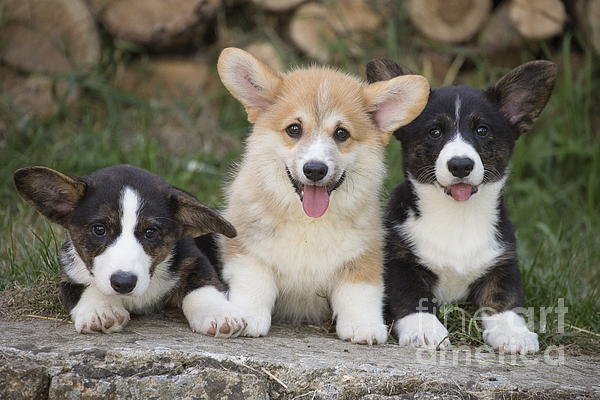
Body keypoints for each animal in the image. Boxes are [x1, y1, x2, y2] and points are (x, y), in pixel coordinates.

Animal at [15, 164, 246, 336]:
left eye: (150, 232)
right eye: (99, 229)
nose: (124, 283)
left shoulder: (193, 259)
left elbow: (203, 286)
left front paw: (218, 315)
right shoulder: (69, 274)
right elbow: (86, 287)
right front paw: (101, 311)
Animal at [213, 47, 428, 344]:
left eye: (341, 133)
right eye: (294, 129)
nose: (315, 169)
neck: (309, 222)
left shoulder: (364, 254)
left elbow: (361, 291)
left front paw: (363, 326)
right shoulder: (245, 248)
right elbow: (255, 282)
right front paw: (246, 317)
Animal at [366, 57, 556, 354]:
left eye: (482, 130)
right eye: (434, 132)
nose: (460, 165)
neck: (457, 215)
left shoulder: (503, 263)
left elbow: (504, 299)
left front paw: (514, 334)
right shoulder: (398, 260)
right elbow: (413, 296)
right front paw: (425, 330)